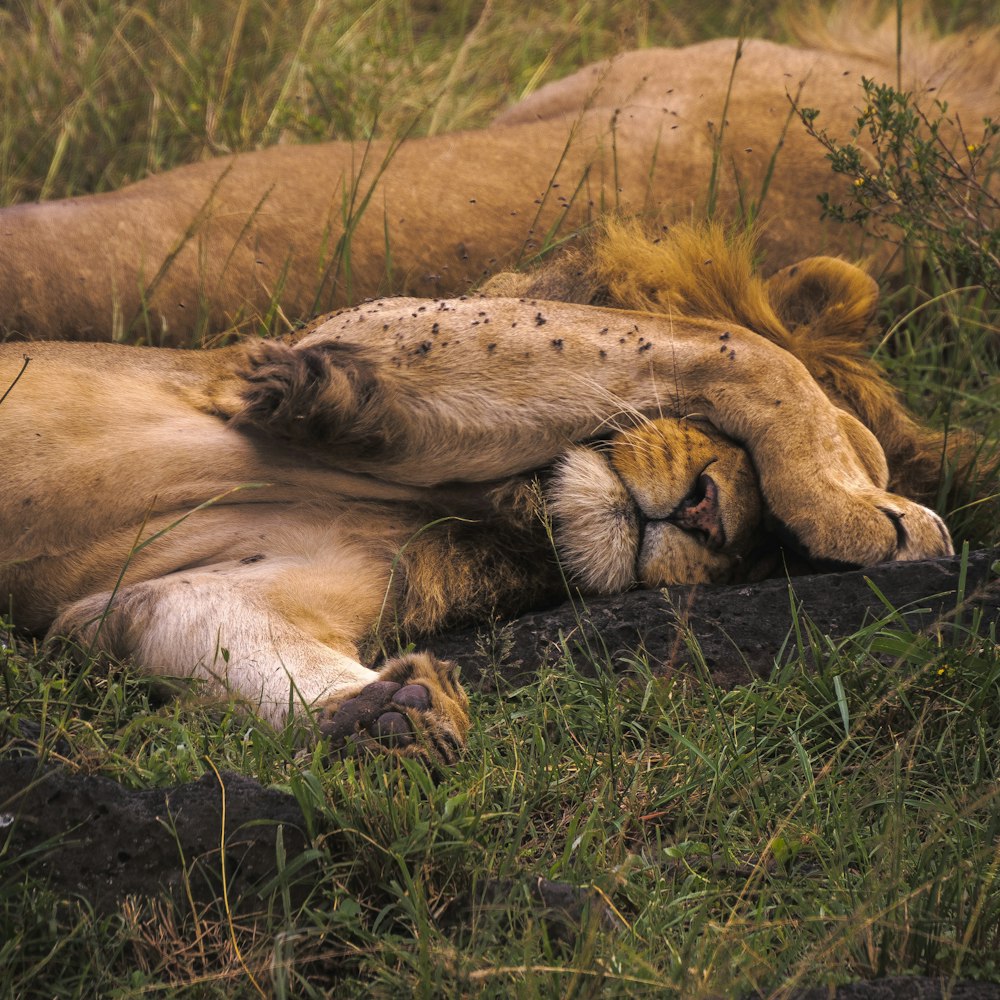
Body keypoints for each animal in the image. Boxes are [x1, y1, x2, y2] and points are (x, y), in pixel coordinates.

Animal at [3, 225, 964, 756]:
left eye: (770, 555)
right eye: (750, 483)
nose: (709, 514)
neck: (499, 510)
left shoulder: (181, 588)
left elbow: (195, 620)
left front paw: (385, 716)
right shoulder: (361, 336)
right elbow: (738, 347)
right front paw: (868, 502)